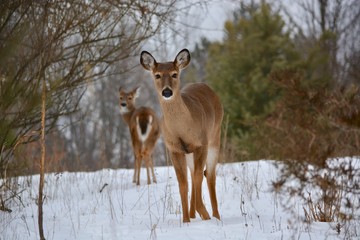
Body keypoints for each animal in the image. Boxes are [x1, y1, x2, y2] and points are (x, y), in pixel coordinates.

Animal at [140, 49, 222, 223]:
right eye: (157, 75)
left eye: (174, 74)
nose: (167, 91)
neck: (182, 129)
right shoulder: (174, 149)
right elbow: (182, 183)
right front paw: (186, 220)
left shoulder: (201, 144)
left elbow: (199, 177)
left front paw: (205, 215)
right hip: (189, 152)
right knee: (193, 175)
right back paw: (193, 214)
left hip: (214, 137)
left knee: (209, 175)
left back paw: (216, 216)